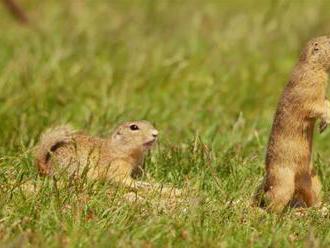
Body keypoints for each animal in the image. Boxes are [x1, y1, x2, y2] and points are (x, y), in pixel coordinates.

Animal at [33, 120, 164, 190]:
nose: (156, 133)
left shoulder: (137, 166)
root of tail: (46, 167)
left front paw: (150, 181)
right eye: (134, 127)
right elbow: (121, 179)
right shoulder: (116, 165)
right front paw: (139, 184)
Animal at [256, 35, 330, 212]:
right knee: (272, 198)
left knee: (312, 195)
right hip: (283, 179)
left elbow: (326, 102)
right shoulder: (308, 91)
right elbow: (316, 106)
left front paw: (323, 126)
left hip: (312, 179)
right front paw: (325, 121)